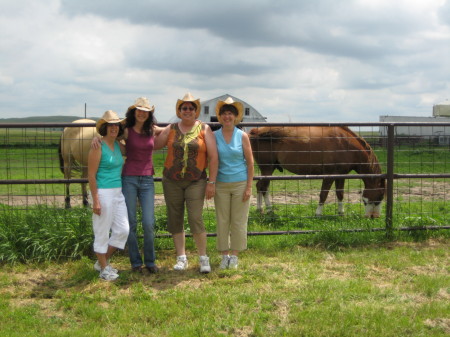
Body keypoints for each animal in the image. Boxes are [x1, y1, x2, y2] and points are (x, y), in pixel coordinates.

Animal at [248, 126, 384, 218]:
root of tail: (255, 132)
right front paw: (318, 213)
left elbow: (340, 194)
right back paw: (269, 210)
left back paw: (260, 209)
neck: (346, 144)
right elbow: (323, 194)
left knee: (260, 186)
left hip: (267, 169)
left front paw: (341, 212)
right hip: (267, 168)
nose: (373, 217)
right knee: (263, 187)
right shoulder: (329, 175)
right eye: (379, 197)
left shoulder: (341, 175)